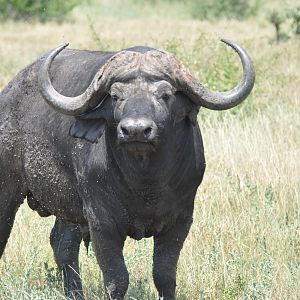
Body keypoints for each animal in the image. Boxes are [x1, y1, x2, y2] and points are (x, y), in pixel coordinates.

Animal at [0, 40, 254, 300]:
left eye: (165, 95)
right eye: (115, 96)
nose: (135, 130)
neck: (145, 183)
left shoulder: (181, 220)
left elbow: (164, 275)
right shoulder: (101, 223)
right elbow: (117, 279)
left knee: (63, 244)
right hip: (8, 188)